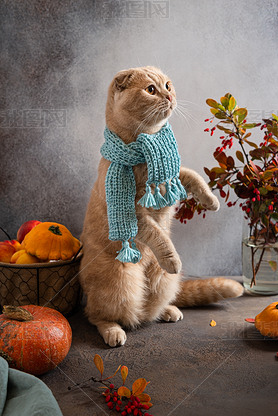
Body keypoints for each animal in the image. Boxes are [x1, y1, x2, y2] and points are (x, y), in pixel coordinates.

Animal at [80, 66, 243, 346]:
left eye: (167, 85)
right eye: (150, 90)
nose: (169, 96)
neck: (146, 148)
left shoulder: (172, 177)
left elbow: (193, 177)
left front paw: (212, 201)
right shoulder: (134, 214)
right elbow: (158, 235)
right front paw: (172, 258)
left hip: (162, 281)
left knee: (148, 310)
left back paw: (167, 311)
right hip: (119, 282)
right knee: (99, 314)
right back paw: (113, 330)